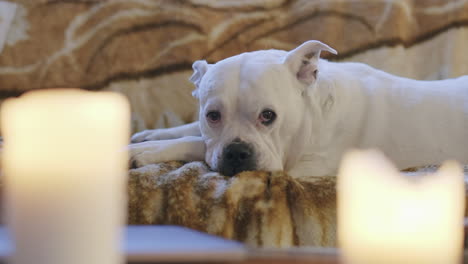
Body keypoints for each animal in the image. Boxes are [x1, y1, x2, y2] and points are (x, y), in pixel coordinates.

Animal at [130, 40, 468, 178]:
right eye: (212, 116)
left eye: (268, 116)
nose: (237, 153)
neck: (314, 114)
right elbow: (193, 131)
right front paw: (150, 135)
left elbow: (196, 144)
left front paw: (144, 152)